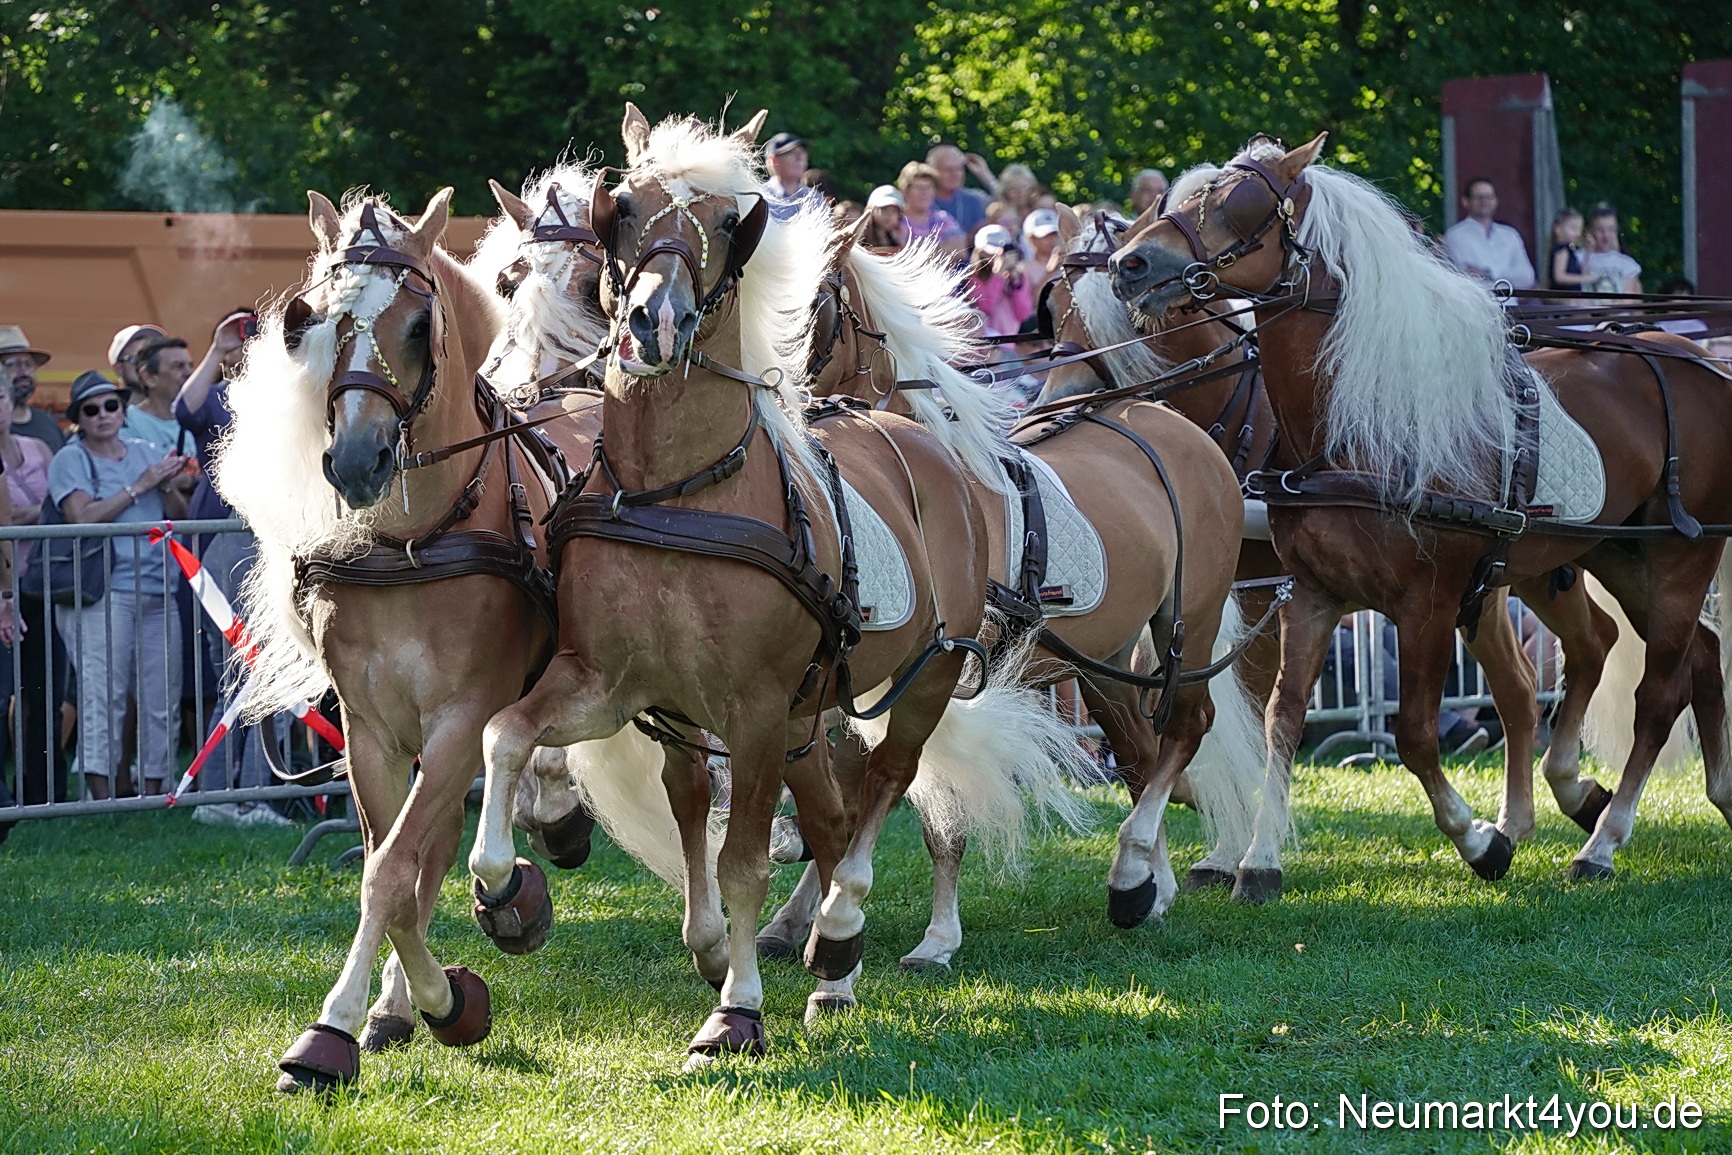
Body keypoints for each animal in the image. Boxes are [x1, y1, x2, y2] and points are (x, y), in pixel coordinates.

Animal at [216, 189, 593, 1092]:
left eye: (420, 324)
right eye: (308, 320)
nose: (356, 459)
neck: (412, 538)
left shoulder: (461, 715)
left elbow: (391, 871)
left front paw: (344, 1026)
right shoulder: (372, 728)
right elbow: (389, 865)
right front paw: (408, 1003)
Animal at [466, 106, 1086, 1056]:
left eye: (732, 222)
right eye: (624, 206)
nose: (653, 320)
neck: (678, 491)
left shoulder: (755, 709)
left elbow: (746, 856)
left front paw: (738, 1005)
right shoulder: (616, 684)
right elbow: (514, 737)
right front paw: (505, 887)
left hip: (924, 676)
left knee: (884, 789)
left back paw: (843, 928)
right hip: (809, 709)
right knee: (835, 814)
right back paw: (832, 964)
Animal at [1109, 133, 1732, 885]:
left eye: (1240, 202)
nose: (1129, 263)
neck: (1352, 430)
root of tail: (1700, 358)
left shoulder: (1427, 604)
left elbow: (1412, 734)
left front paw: (1478, 840)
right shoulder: (1312, 594)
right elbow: (1283, 718)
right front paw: (1259, 859)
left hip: (1678, 559)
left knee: (1658, 694)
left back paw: (1603, 841)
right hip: (1617, 555)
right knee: (1682, 655)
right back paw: (1701, 795)